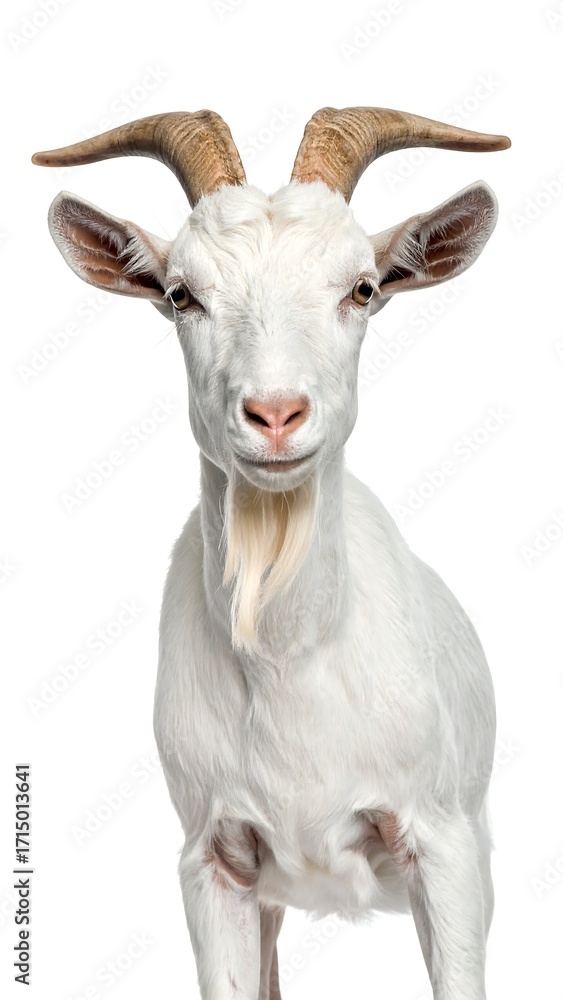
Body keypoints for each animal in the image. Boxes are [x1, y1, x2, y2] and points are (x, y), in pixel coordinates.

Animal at [33, 106, 510, 1000]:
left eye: (361, 288)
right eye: (181, 294)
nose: (276, 414)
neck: (292, 661)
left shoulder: (447, 848)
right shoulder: (213, 861)